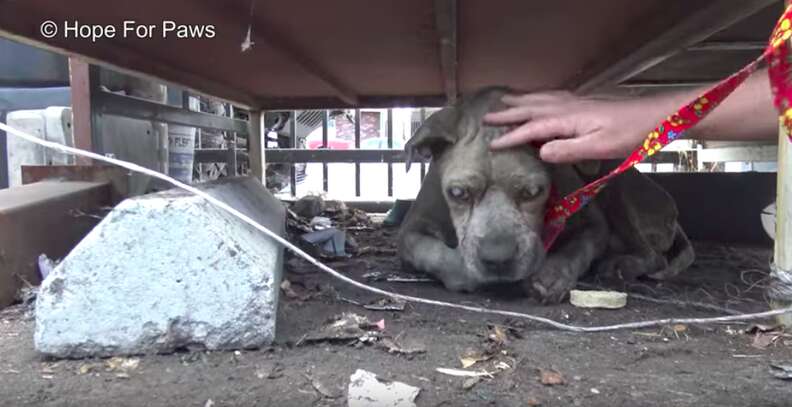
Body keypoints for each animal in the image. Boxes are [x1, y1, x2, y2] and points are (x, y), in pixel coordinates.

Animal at [396, 87, 692, 302]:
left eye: (533, 192)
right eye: (458, 193)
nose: (497, 258)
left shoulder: (593, 224)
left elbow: (578, 248)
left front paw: (553, 273)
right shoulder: (411, 228)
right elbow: (429, 250)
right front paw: (463, 271)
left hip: (614, 186)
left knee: (654, 256)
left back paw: (622, 265)